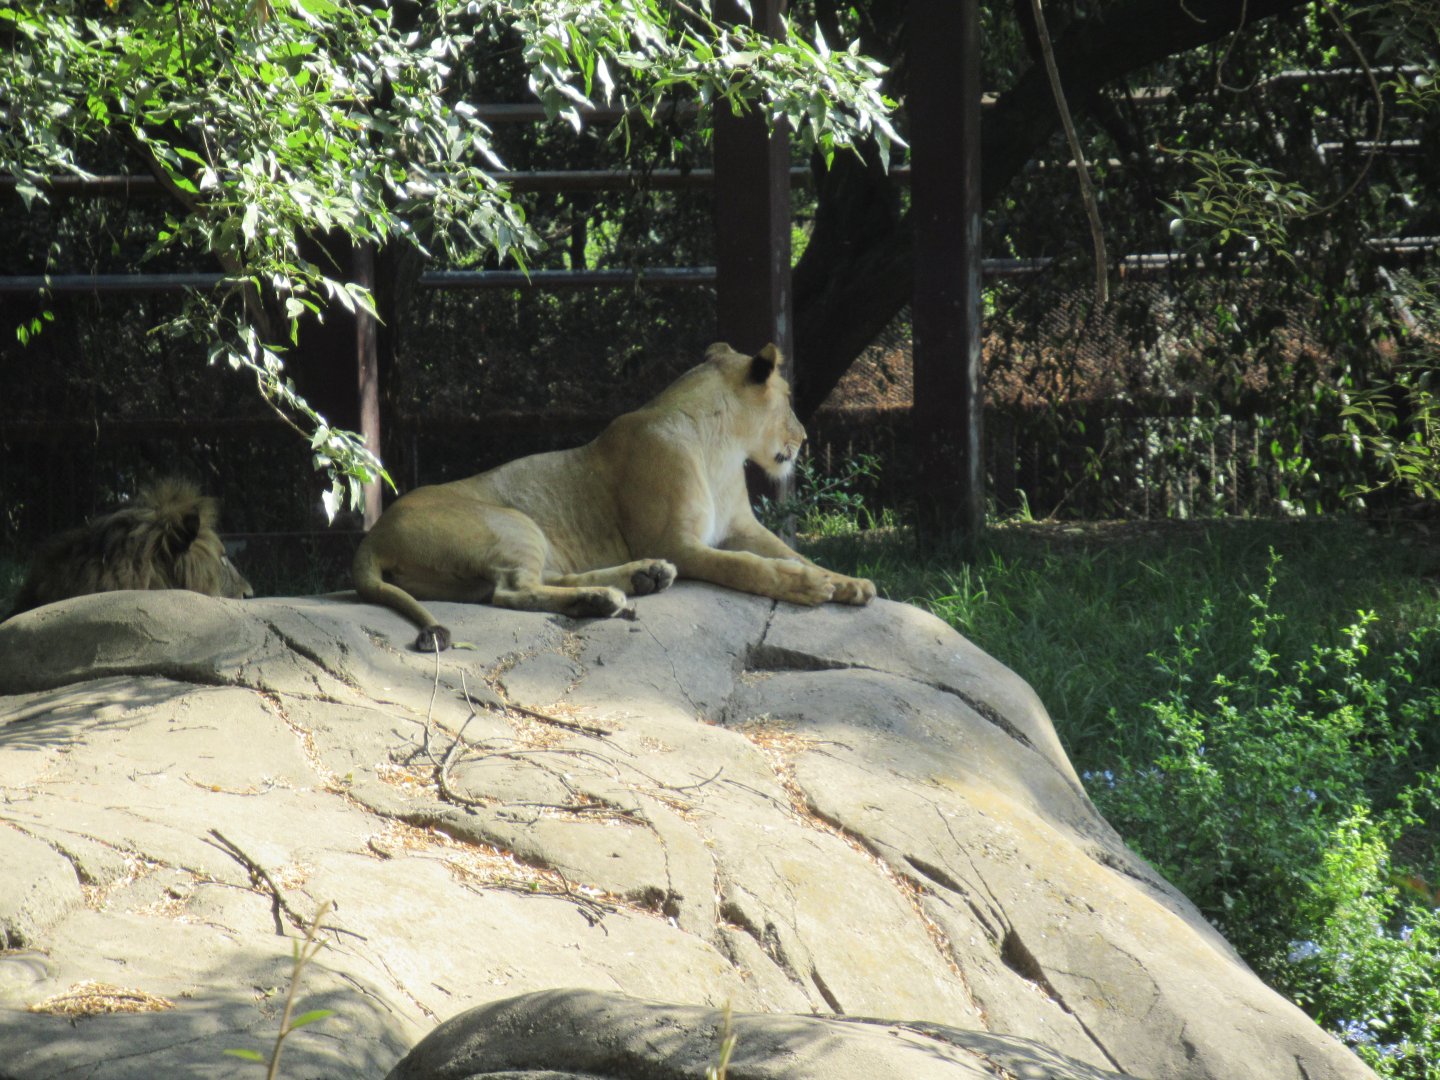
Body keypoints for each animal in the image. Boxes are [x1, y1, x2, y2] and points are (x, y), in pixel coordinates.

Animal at [353, 342, 876, 651]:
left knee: (537, 581)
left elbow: (792, 552)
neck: (722, 448)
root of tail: (372, 538)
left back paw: (638, 580)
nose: (804, 438)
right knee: (511, 591)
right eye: (787, 400)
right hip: (513, 523)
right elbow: (747, 567)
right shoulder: (677, 542)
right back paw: (608, 596)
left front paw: (849, 583)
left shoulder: (740, 528)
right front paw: (808, 586)